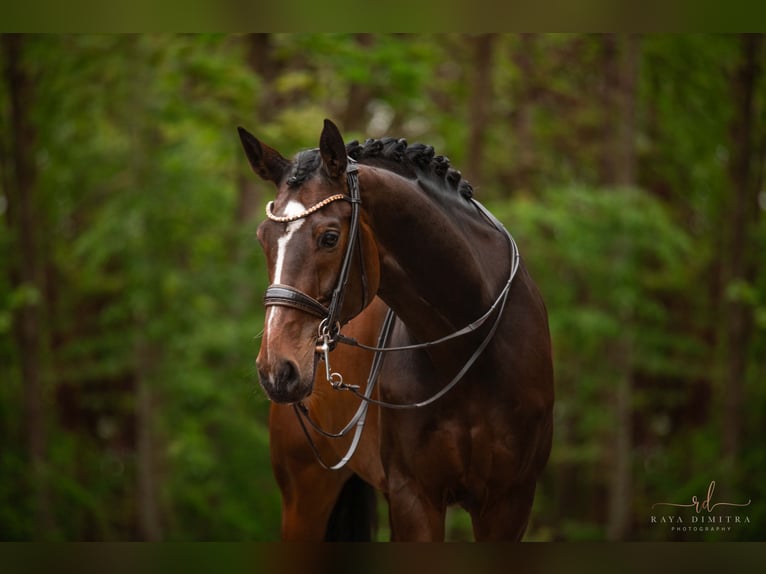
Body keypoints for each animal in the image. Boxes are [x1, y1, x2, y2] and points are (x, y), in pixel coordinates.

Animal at [237, 119, 556, 544]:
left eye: (329, 237)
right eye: (263, 239)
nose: (277, 369)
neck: (471, 348)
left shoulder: (510, 500)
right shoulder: (414, 497)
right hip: (304, 497)